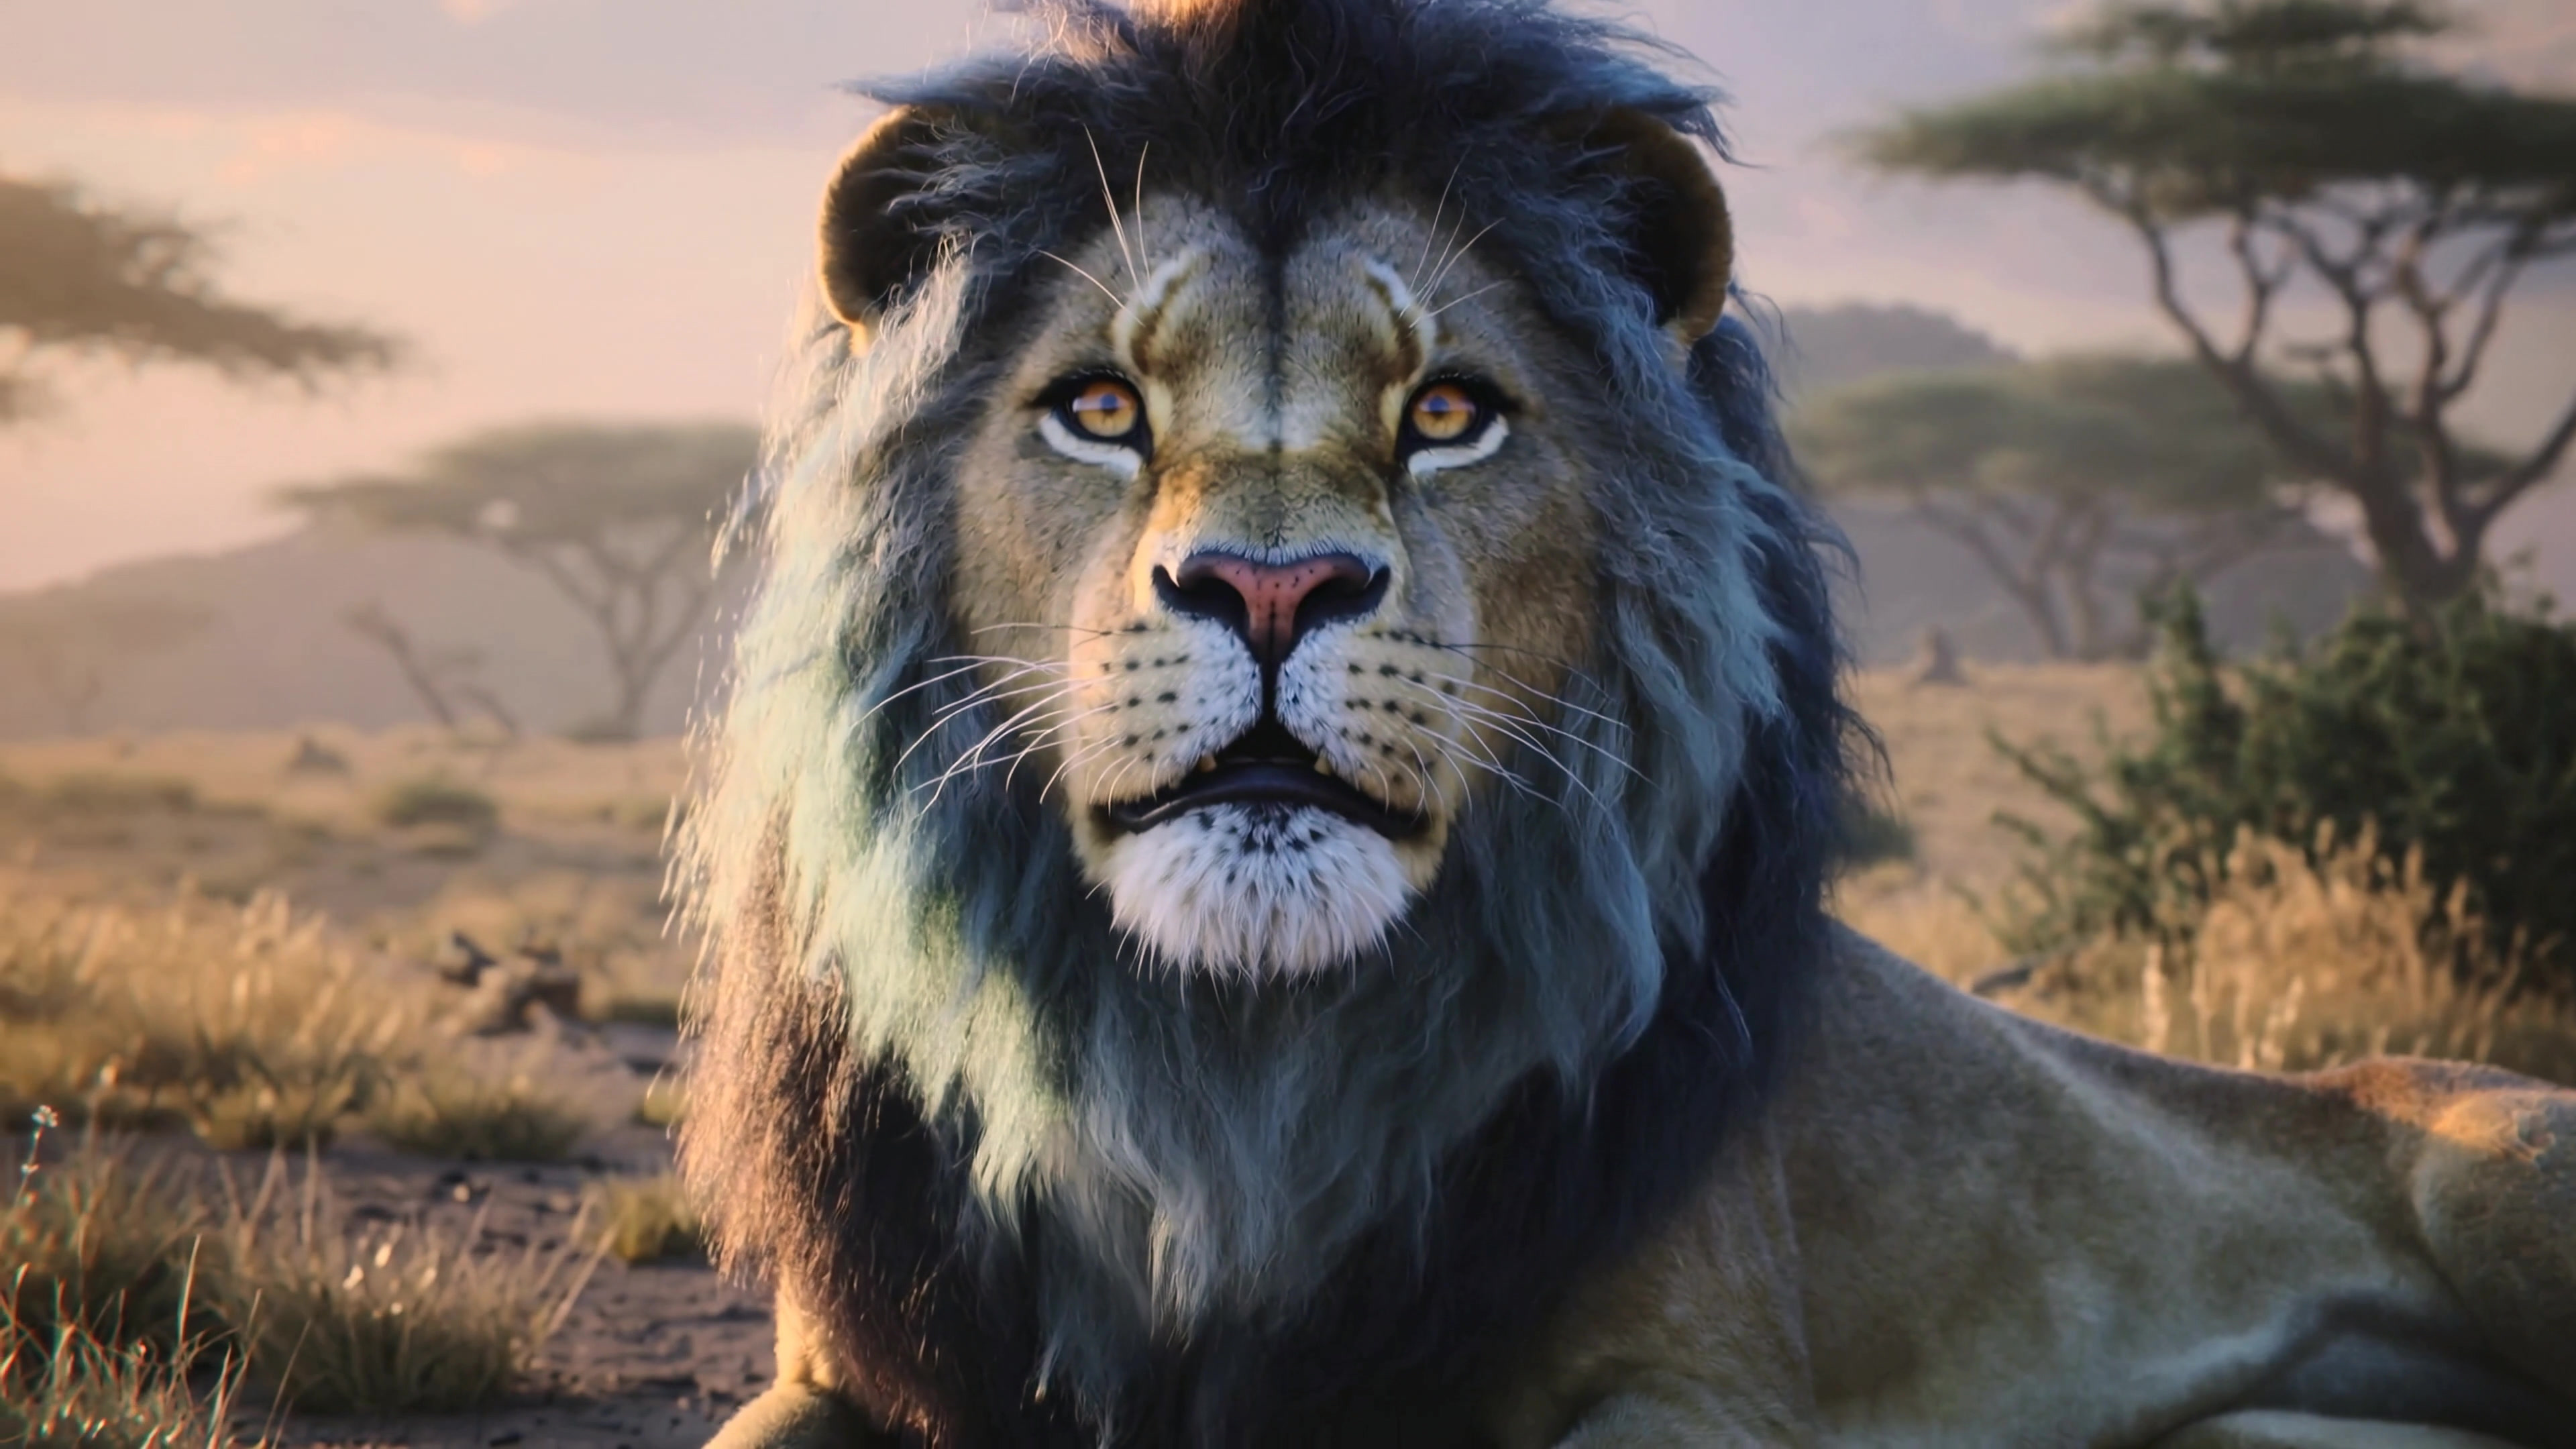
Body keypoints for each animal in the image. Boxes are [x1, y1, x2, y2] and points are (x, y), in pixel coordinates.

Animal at [675, 0, 2576, 1444]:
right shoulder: (853, 1366)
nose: (1273, 590)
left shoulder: (1702, 1380)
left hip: (2504, 1172)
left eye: (1447, 414)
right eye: (1098, 408)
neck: (1239, 1053)